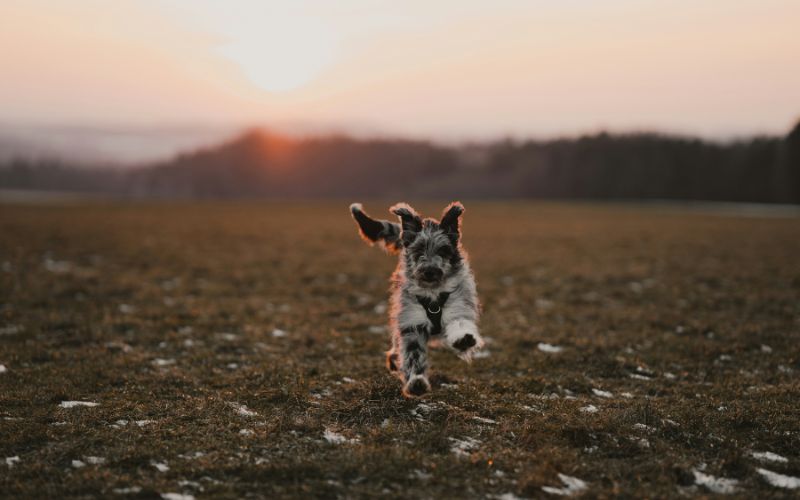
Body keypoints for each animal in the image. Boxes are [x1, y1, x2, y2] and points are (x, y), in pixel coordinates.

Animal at [348, 201, 482, 396]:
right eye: (418, 249)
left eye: (443, 250)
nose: (429, 271)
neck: (433, 295)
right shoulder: (411, 323)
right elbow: (413, 354)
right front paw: (416, 381)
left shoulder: (458, 307)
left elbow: (460, 324)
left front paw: (463, 339)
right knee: (396, 348)